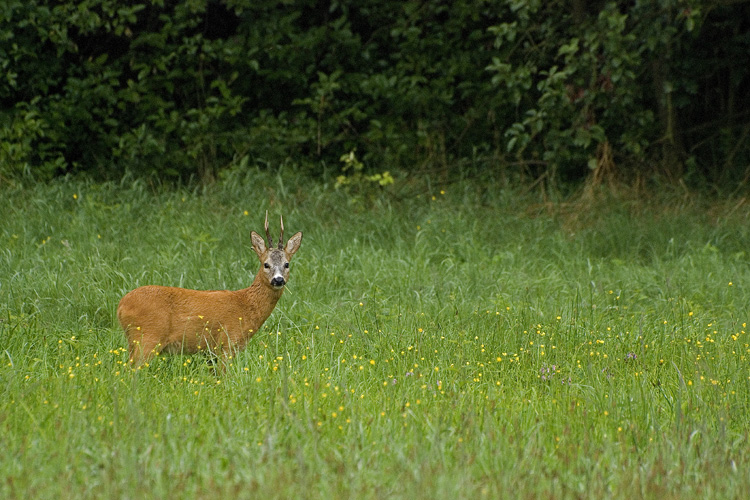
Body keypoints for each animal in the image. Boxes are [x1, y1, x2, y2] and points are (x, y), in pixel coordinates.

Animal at [117, 212, 302, 368]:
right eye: (266, 264)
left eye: (287, 264)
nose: (278, 280)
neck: (245, 306)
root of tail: (120, 306)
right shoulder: (227, 343)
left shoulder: (210, 353)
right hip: (147, 337)